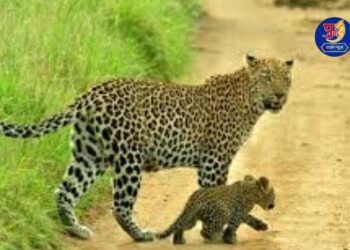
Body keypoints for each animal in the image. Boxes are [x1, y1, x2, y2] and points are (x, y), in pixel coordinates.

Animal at [0, 53, 292, 241]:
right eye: (267, 77)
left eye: (286, 79)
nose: (280, 95)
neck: (250, 103)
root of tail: (91, 93)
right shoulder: (215, 161)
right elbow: (220, 194)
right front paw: (224, 229)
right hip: (129, 159)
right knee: (119, 205)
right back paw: (142, 235)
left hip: (90, 157)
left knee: (64, 192)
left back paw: (77, 230)